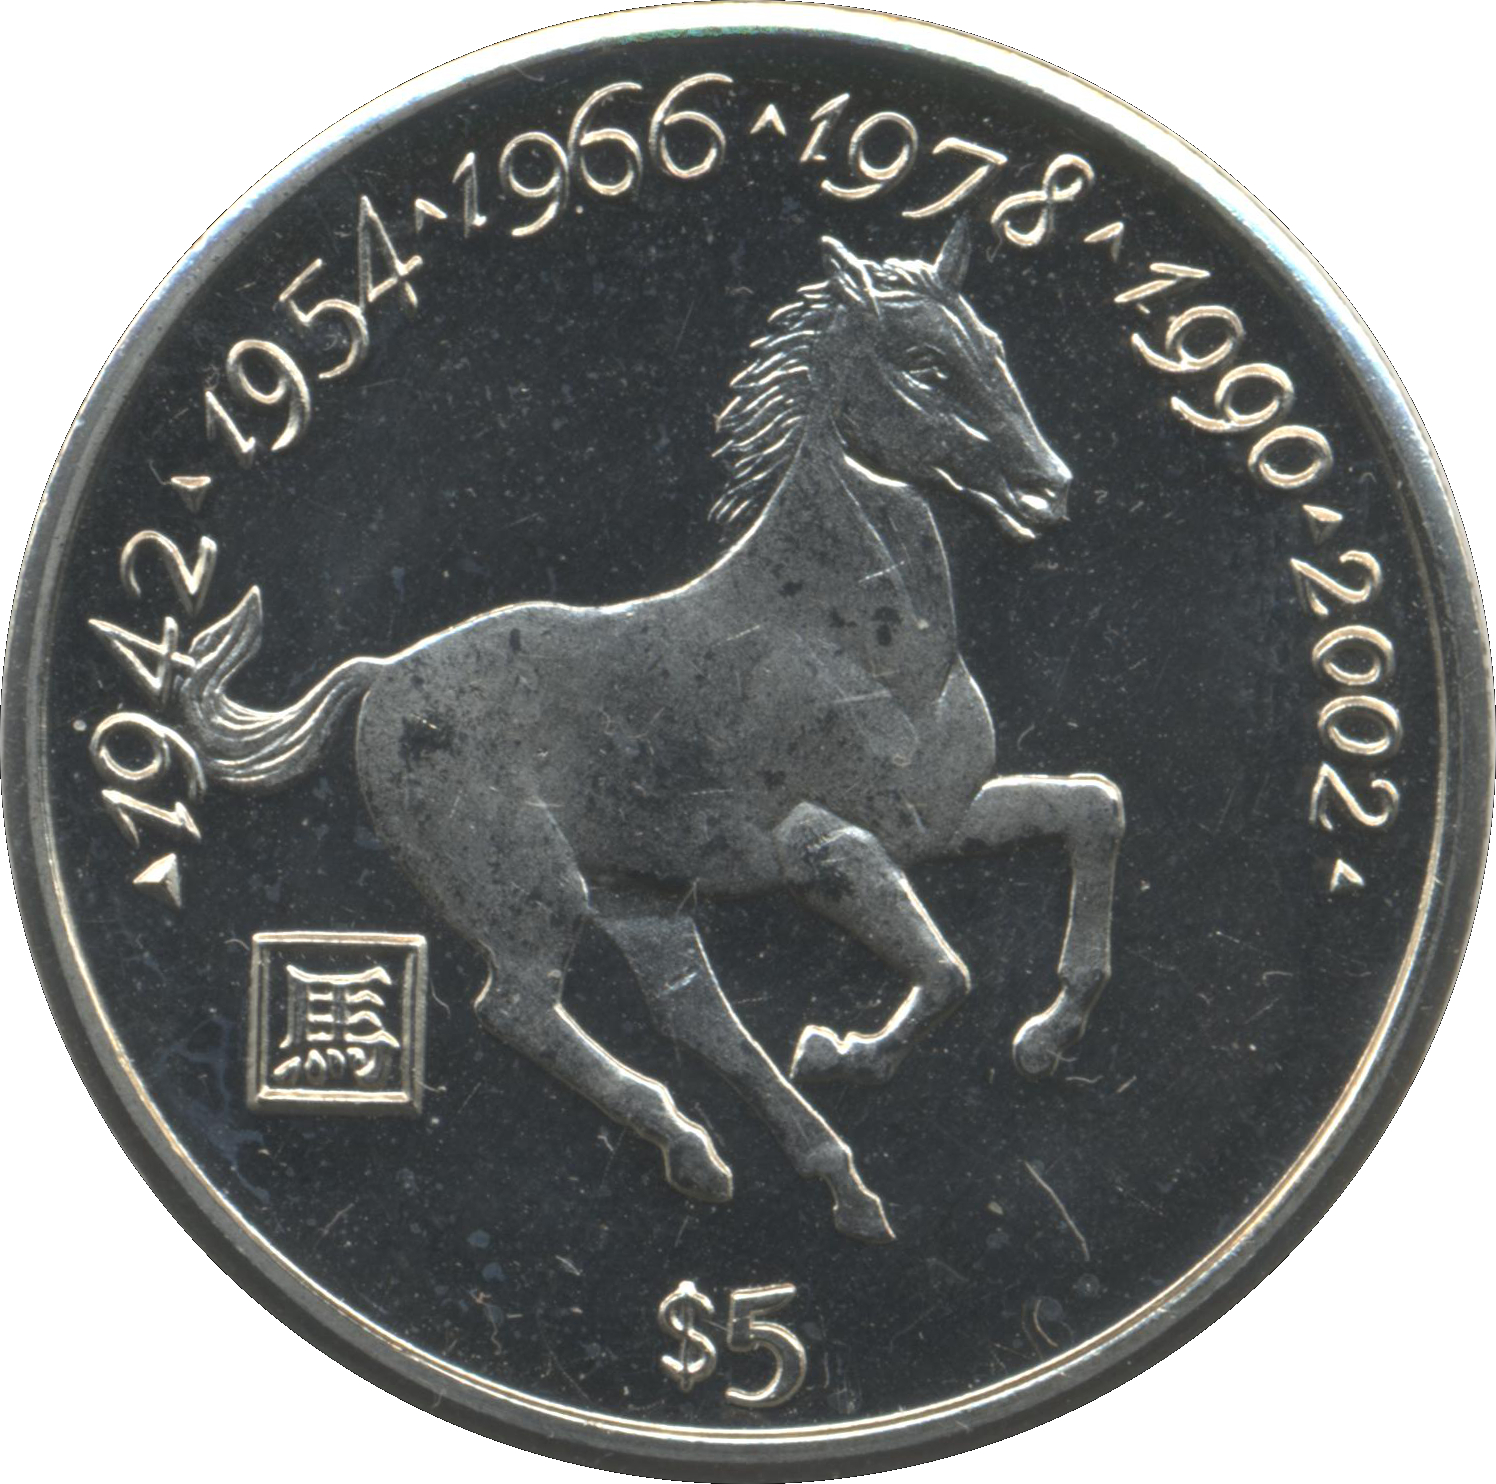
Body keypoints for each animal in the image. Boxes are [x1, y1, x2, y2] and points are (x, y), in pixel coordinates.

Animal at [173, 218, 1124, 1243]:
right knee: (525, 1008)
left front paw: (1047, 1038)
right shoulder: (819, 845)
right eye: (924, 364)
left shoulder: (941, 819)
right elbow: (948, 971)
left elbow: (1093, 809)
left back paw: (813, 1179)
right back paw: (717, 1154)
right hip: (532, 890)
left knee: (693, 1019)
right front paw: (846, 1052)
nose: (1049, 486)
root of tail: (381, 676)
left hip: (642, 897)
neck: (846, 635)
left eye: (993, 346)